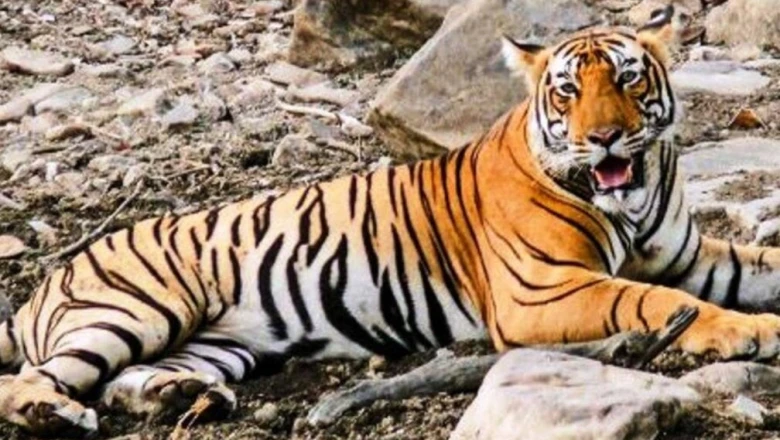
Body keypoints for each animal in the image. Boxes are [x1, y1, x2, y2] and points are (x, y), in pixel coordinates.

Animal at [2, 6, 780, 437]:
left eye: (626, 78)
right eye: (567, 91)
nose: (607, 138)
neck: (632, 196)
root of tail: (46, 282)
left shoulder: (690, 255)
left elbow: (752, 265)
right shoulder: (541, 293)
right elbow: (651, 299)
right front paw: (748, 331)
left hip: (215, 344)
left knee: (129, 381)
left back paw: (183, 397)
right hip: (138, 310)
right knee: (37, 378)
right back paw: (53, 414)